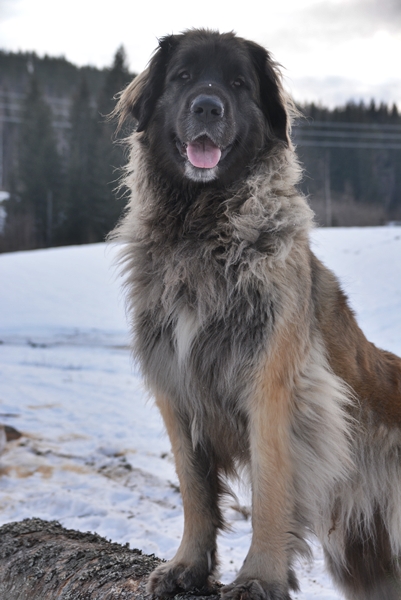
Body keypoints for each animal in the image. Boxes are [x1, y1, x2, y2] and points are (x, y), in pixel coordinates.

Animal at [111, 29, 400, 600]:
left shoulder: (273, 385)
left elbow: (271, 486)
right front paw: (187, 566)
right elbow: (195, 490)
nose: (207, 105)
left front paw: (259, 576)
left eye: (239, 84)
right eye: (183, 76)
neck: (201, 230)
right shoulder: (177, 389)